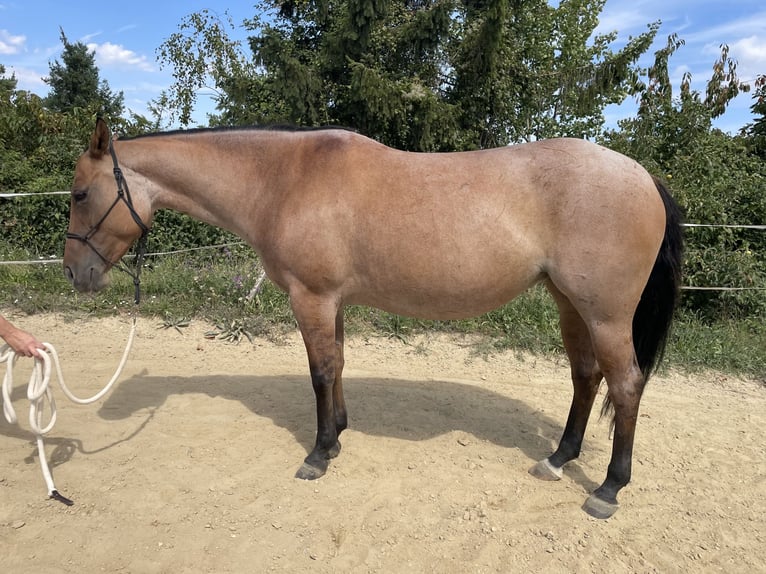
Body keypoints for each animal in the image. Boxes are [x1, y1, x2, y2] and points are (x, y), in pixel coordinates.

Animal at [63, 119, 683, 519]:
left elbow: (319, 372)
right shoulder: (331, 302)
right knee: (586, 377)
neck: (283, 178)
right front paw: (337, 435)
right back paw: (557, 459)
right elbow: (336, 367)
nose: (74, 273)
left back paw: (608, 489)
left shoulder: (311, 298)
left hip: (606, 315)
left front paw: (317, 454)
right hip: (570, 305)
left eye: (79, 194)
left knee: (625, 386)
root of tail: (642, 176)